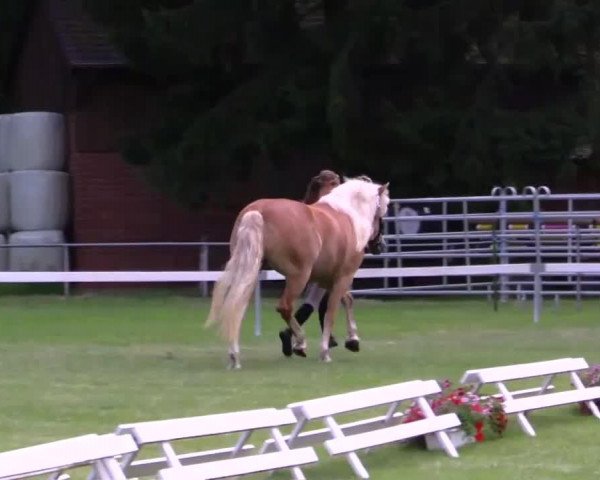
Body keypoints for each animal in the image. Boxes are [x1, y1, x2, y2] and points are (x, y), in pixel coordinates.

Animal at [206, 176, 392, 368]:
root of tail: (258, 211)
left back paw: (235, 356)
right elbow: (331, 312)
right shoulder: (343, 277)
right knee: (284, 307)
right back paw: (300, 343)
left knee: (237, 306)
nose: (381, 245)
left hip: (251, 270)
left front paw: (353, 340)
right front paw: (325, 352)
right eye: (382, 210)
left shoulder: (327, 279)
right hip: (298, 277)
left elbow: (347, 300)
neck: (347, 217)